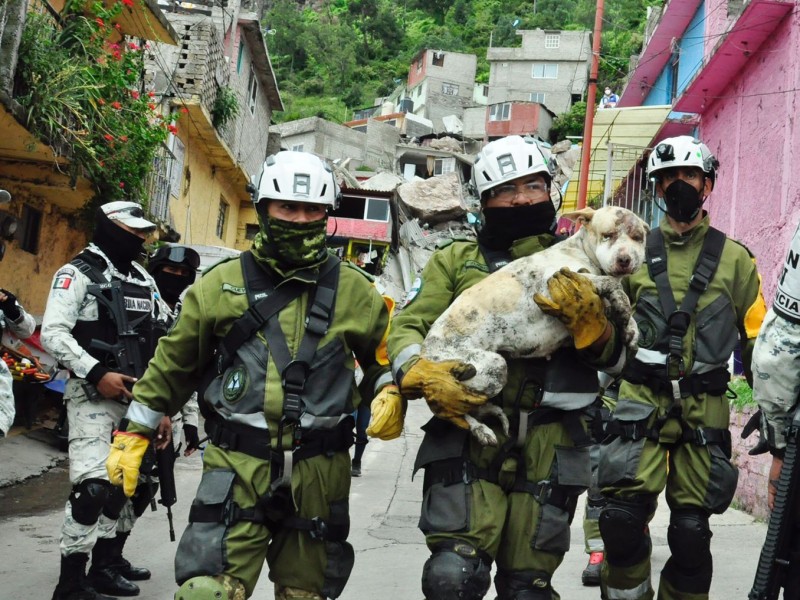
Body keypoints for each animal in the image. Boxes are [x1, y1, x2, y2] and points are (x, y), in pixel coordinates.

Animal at [422, 206, 648, 446]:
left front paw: (631, 328)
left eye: (637, 237)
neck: (582, 252)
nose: (625, 259)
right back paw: (480, 429)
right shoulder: (552, 284)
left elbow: (616, 300)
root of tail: (425, 354)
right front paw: (622, 305)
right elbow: (612, 285)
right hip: (489, 367)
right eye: (608, 235)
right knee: (448, 409)